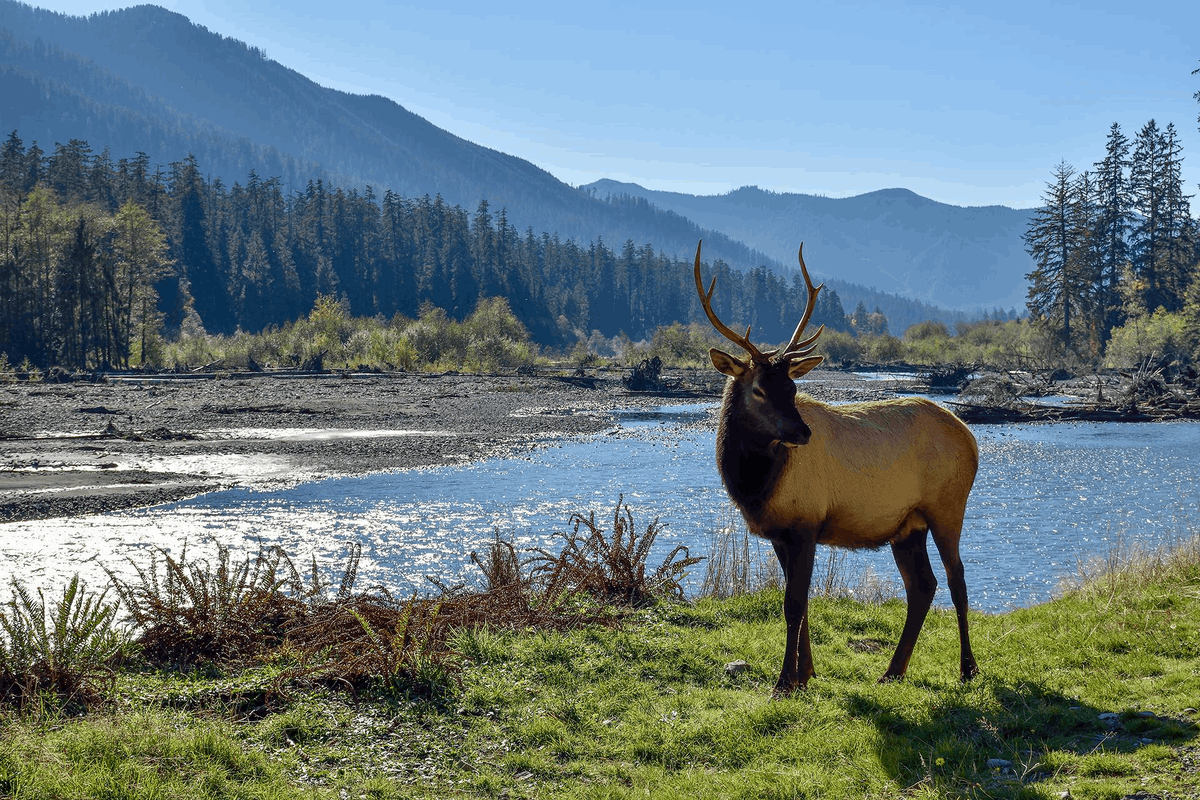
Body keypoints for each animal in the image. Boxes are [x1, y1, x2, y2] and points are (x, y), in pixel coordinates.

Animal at [700, 239, 979, 695]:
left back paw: (968, 669)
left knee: (957, 580)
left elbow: (794, 603)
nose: (802, 432)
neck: (755, 486)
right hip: (908, 524)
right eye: (759, 389)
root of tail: (972, 439)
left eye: (793, 386)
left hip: (947, 506)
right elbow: (801, 603)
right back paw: (893, 670)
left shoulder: (807, 523)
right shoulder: (780, 533)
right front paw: (806, 674)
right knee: (922, 586)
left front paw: (784, 681)